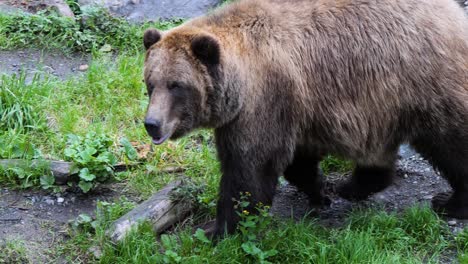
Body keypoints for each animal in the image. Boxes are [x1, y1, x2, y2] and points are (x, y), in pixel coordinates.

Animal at [143, 0, 468, 236]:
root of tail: (454, 12)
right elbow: (296, 162)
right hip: (384, 105)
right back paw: (353, 186)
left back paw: (449, 202)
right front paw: (320, 191)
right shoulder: (296, 107)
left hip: (420, 82)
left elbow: (249, 168)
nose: (151, 124)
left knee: (451, 142)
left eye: (176, 85)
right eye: (150, 82)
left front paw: (217, 229)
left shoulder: (264, 101)